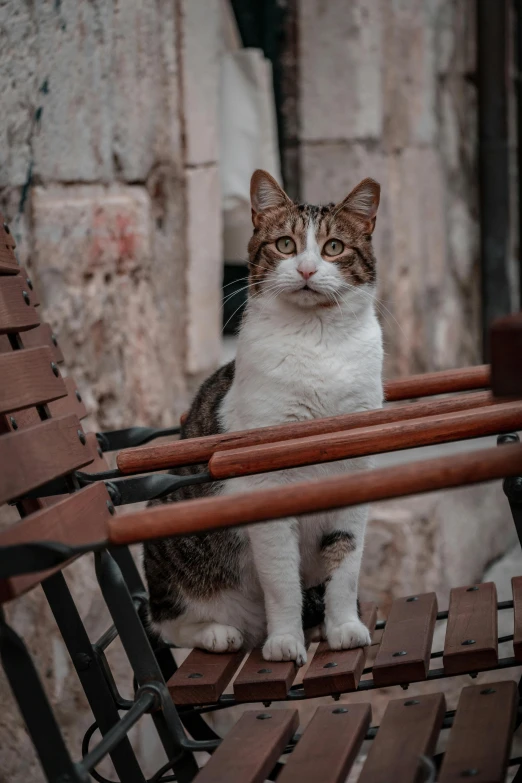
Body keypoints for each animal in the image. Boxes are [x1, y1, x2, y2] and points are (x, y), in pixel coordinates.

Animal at [142, 172, 382, 668]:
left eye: (333, 247)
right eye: (285, 244)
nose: (306, 270)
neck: (317, 339)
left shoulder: (356, 475)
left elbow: (345, 565)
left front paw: (344, 627)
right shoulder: (267, 489)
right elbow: (281, 580)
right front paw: (285, 641)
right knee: (169, 621)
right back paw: (221, 633)